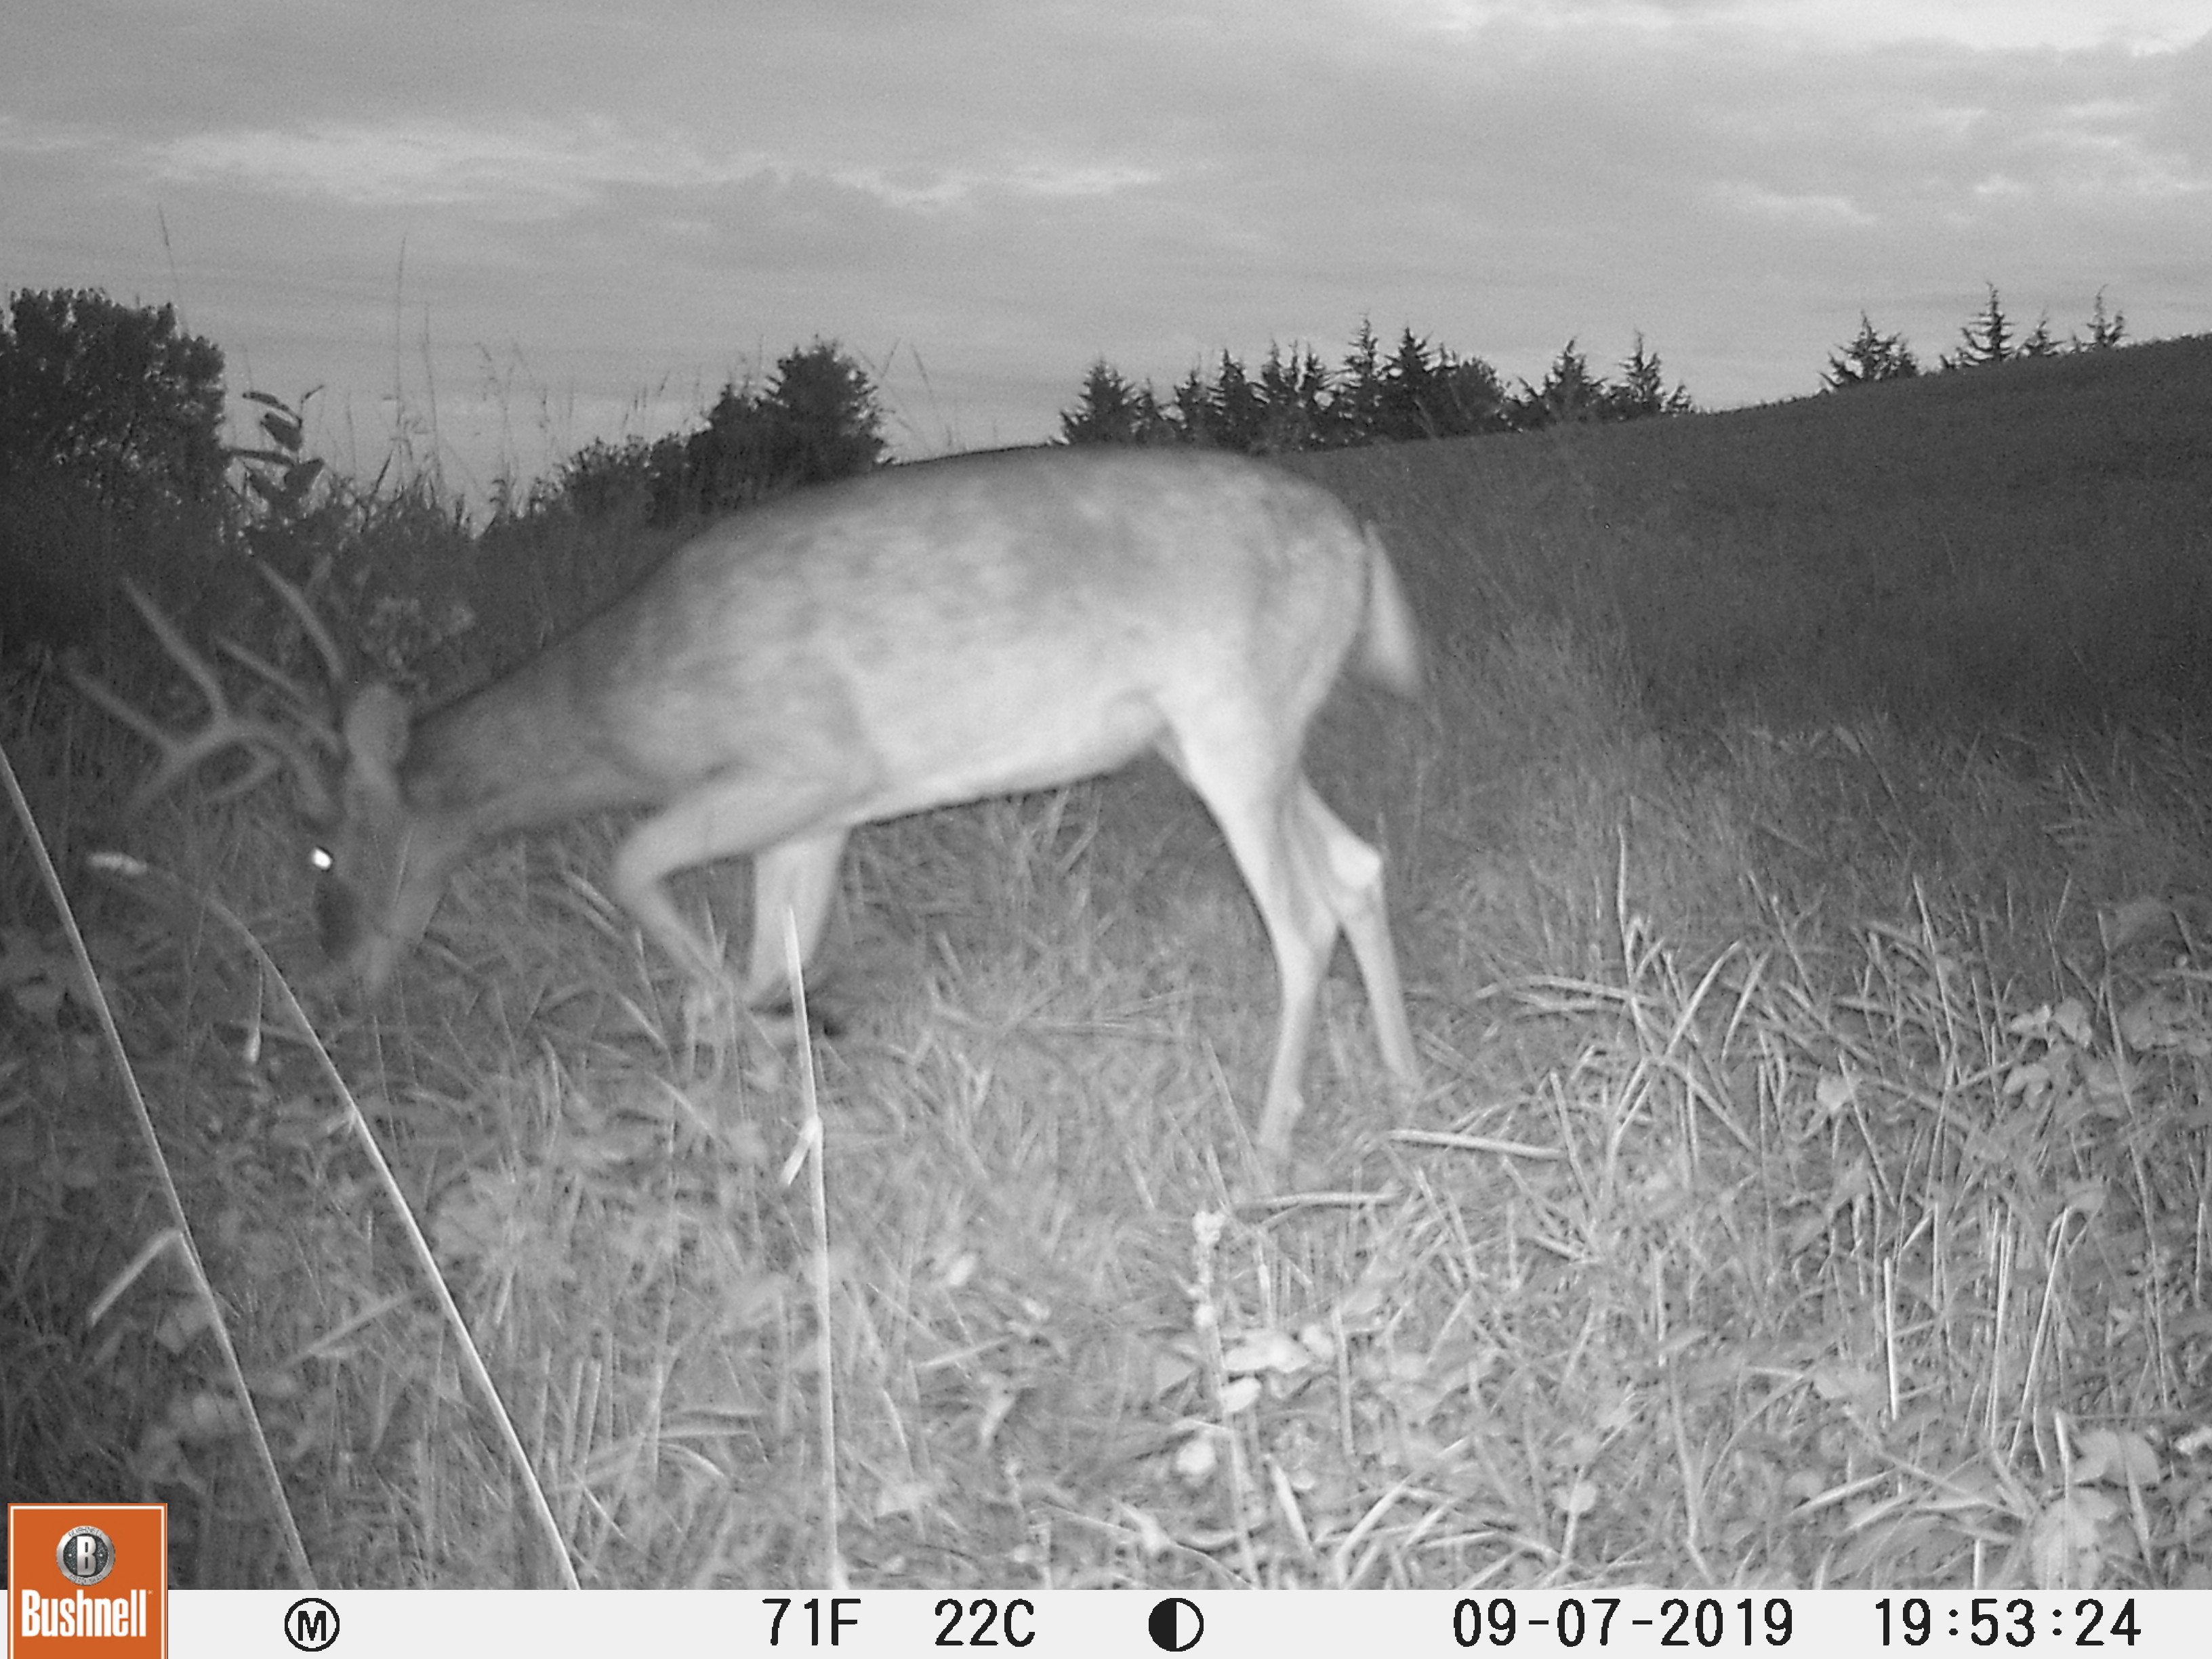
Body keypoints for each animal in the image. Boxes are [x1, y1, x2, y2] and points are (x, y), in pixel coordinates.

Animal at [70, 445, 1424, 1166]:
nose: (333, 980)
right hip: (1234, 734)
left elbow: (629, 867)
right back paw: (1408, 1083)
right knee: (1359, 865)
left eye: (317, 851)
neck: (628, 694)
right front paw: (773, 1077)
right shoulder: (817, 817)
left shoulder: (804, 763)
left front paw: (747, 1030)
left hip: (1229, 715)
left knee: (1300, 917)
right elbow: (778, 947)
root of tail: (1361, 536)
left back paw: (1267, 1144)